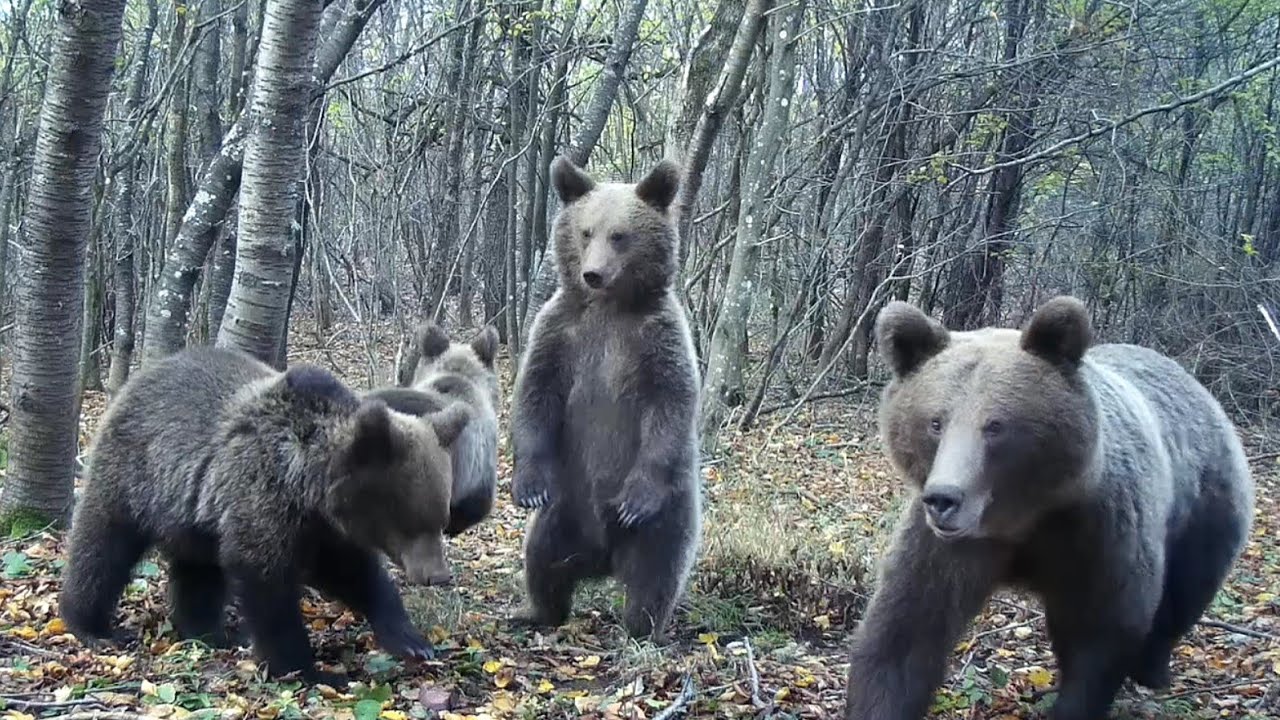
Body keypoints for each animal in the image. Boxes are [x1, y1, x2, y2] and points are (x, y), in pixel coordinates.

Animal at [58, 345, 471, 686]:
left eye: (441, 518)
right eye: (410, 521)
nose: (438, 575)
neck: (309, 485)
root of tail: (139, 378)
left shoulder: (322, 529)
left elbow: (356, 573)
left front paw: (411, 639)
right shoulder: (264, 498)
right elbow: (269, 586)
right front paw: (309, 670)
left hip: (195, 518)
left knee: (199, 571)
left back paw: (210, 632)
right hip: (134, 474)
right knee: (103, 546)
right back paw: (93, 626)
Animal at [507, 154, 703, 643]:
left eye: (620, 235)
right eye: (585, 231)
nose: (592, 274)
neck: (611, 308)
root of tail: (602, 559)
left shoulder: (659, 338)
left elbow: (671, 403)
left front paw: (635, 498)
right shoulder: (560, 332)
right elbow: (535, 393)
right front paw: (528, 485)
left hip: (668, 515)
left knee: (655, 576)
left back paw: (641, 631)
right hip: (566, 506)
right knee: (542, 561)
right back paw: (535, 613)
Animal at [842, 296, 1255, 720]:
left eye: (995, 425)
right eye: (935, 422)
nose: (944, 498)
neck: (1024, 517)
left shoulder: (1099, 531)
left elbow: (1102, 630)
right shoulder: (947, 548)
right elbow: (905, 631)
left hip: (1205, 504)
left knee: (1183, 594)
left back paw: (1152, 669)